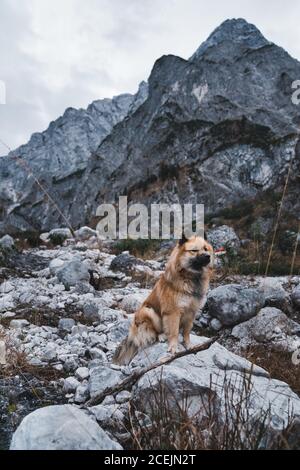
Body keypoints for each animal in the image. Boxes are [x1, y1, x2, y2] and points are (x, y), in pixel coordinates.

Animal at [112, 237, 213, 366]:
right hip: (148, 310)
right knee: (154, 332)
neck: (190, 278)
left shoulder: (192, 311)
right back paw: (161, 336)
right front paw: (173, 348)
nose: (208, 256)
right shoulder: (173, 312)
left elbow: (186, 331)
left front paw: (189, 346)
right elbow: (174, 332)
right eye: (194, 250)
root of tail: (133, 332)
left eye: (206, 249)